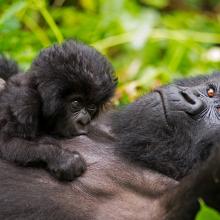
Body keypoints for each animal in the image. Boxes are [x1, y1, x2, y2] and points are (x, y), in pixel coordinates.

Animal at [0, 40, 117, 180]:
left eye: (92, 107)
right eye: (76, 103)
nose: (84, 122)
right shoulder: (24, 101)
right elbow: (9, 140)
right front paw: (64, 159)